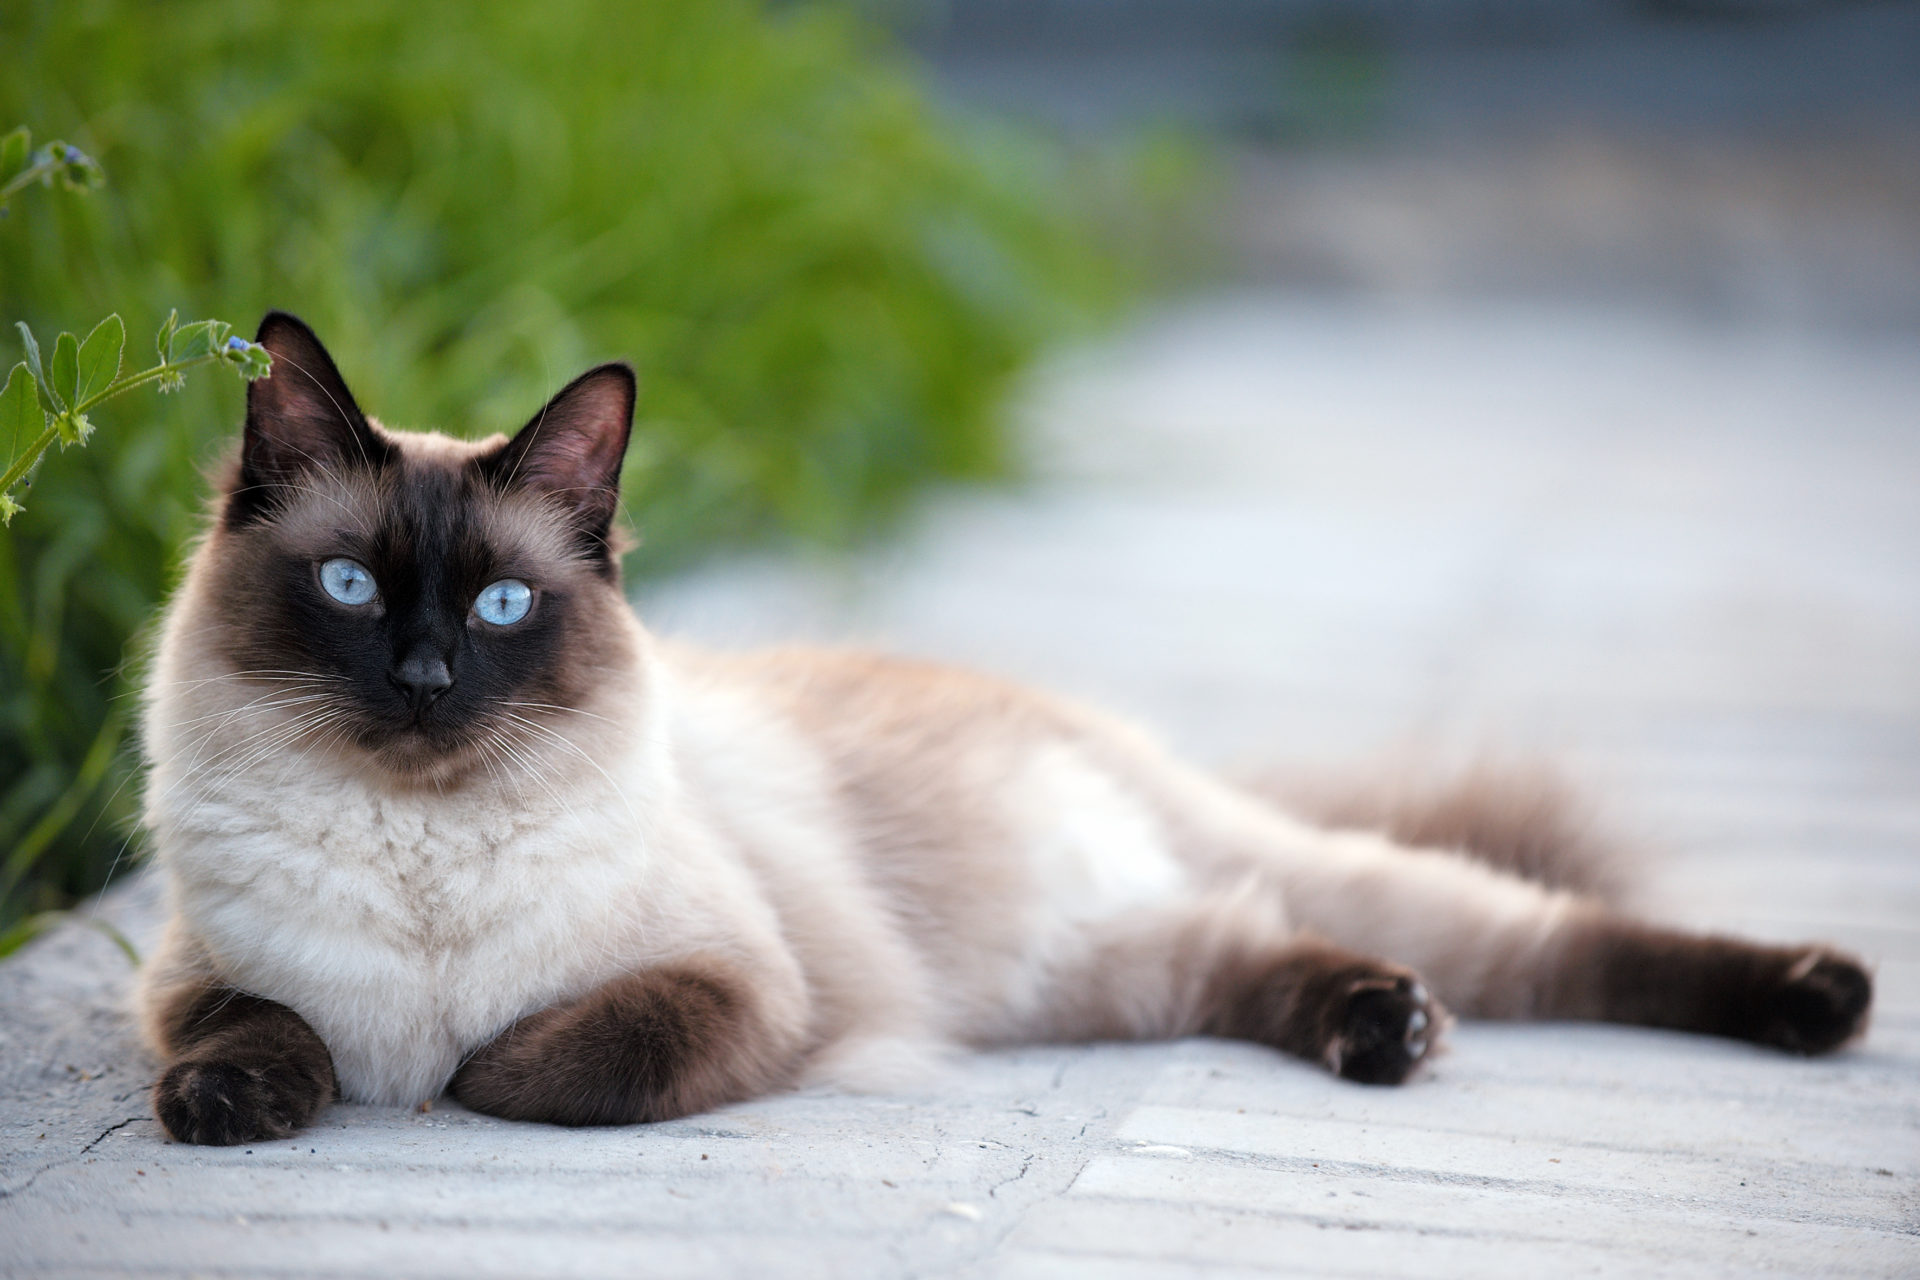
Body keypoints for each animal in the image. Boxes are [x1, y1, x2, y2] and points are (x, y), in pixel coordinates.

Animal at [139, 314, 1873, 1143]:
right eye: (354, 586)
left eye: (500, 606)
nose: (426, 677)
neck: (420, 860)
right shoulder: (198, 980)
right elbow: (267, 1034)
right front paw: (229, 1113)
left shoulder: (738, 989)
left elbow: (546, 1064)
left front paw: (455, 1076)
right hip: (1106, 973)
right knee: (1261, 952)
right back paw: (1386, 1030)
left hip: (1273, 891)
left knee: (1553, 940)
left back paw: (1819, 1000)